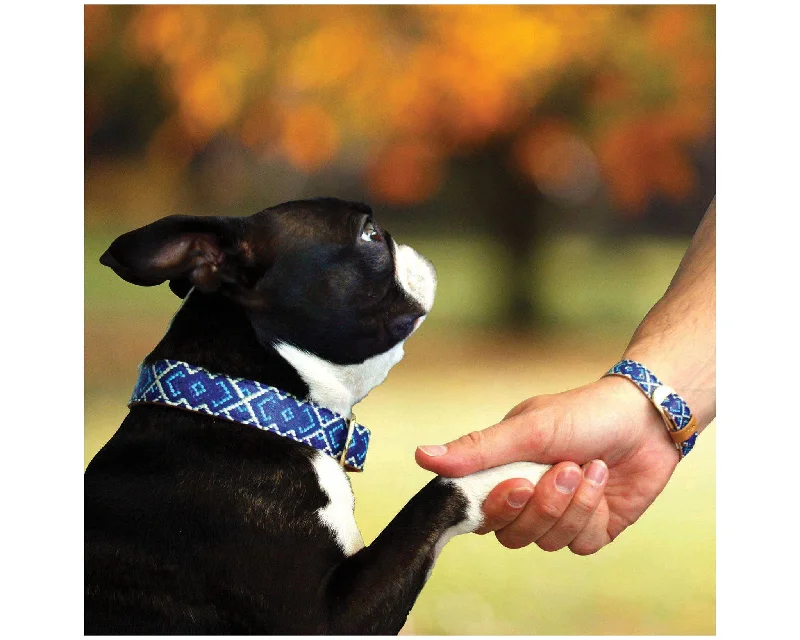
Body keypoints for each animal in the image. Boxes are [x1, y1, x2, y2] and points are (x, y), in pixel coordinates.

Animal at [86, 198, 552, 632]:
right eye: (369, 235)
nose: (410, 245)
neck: (254, 410)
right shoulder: (327, 619)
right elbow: (438, 493)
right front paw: (527, 468)